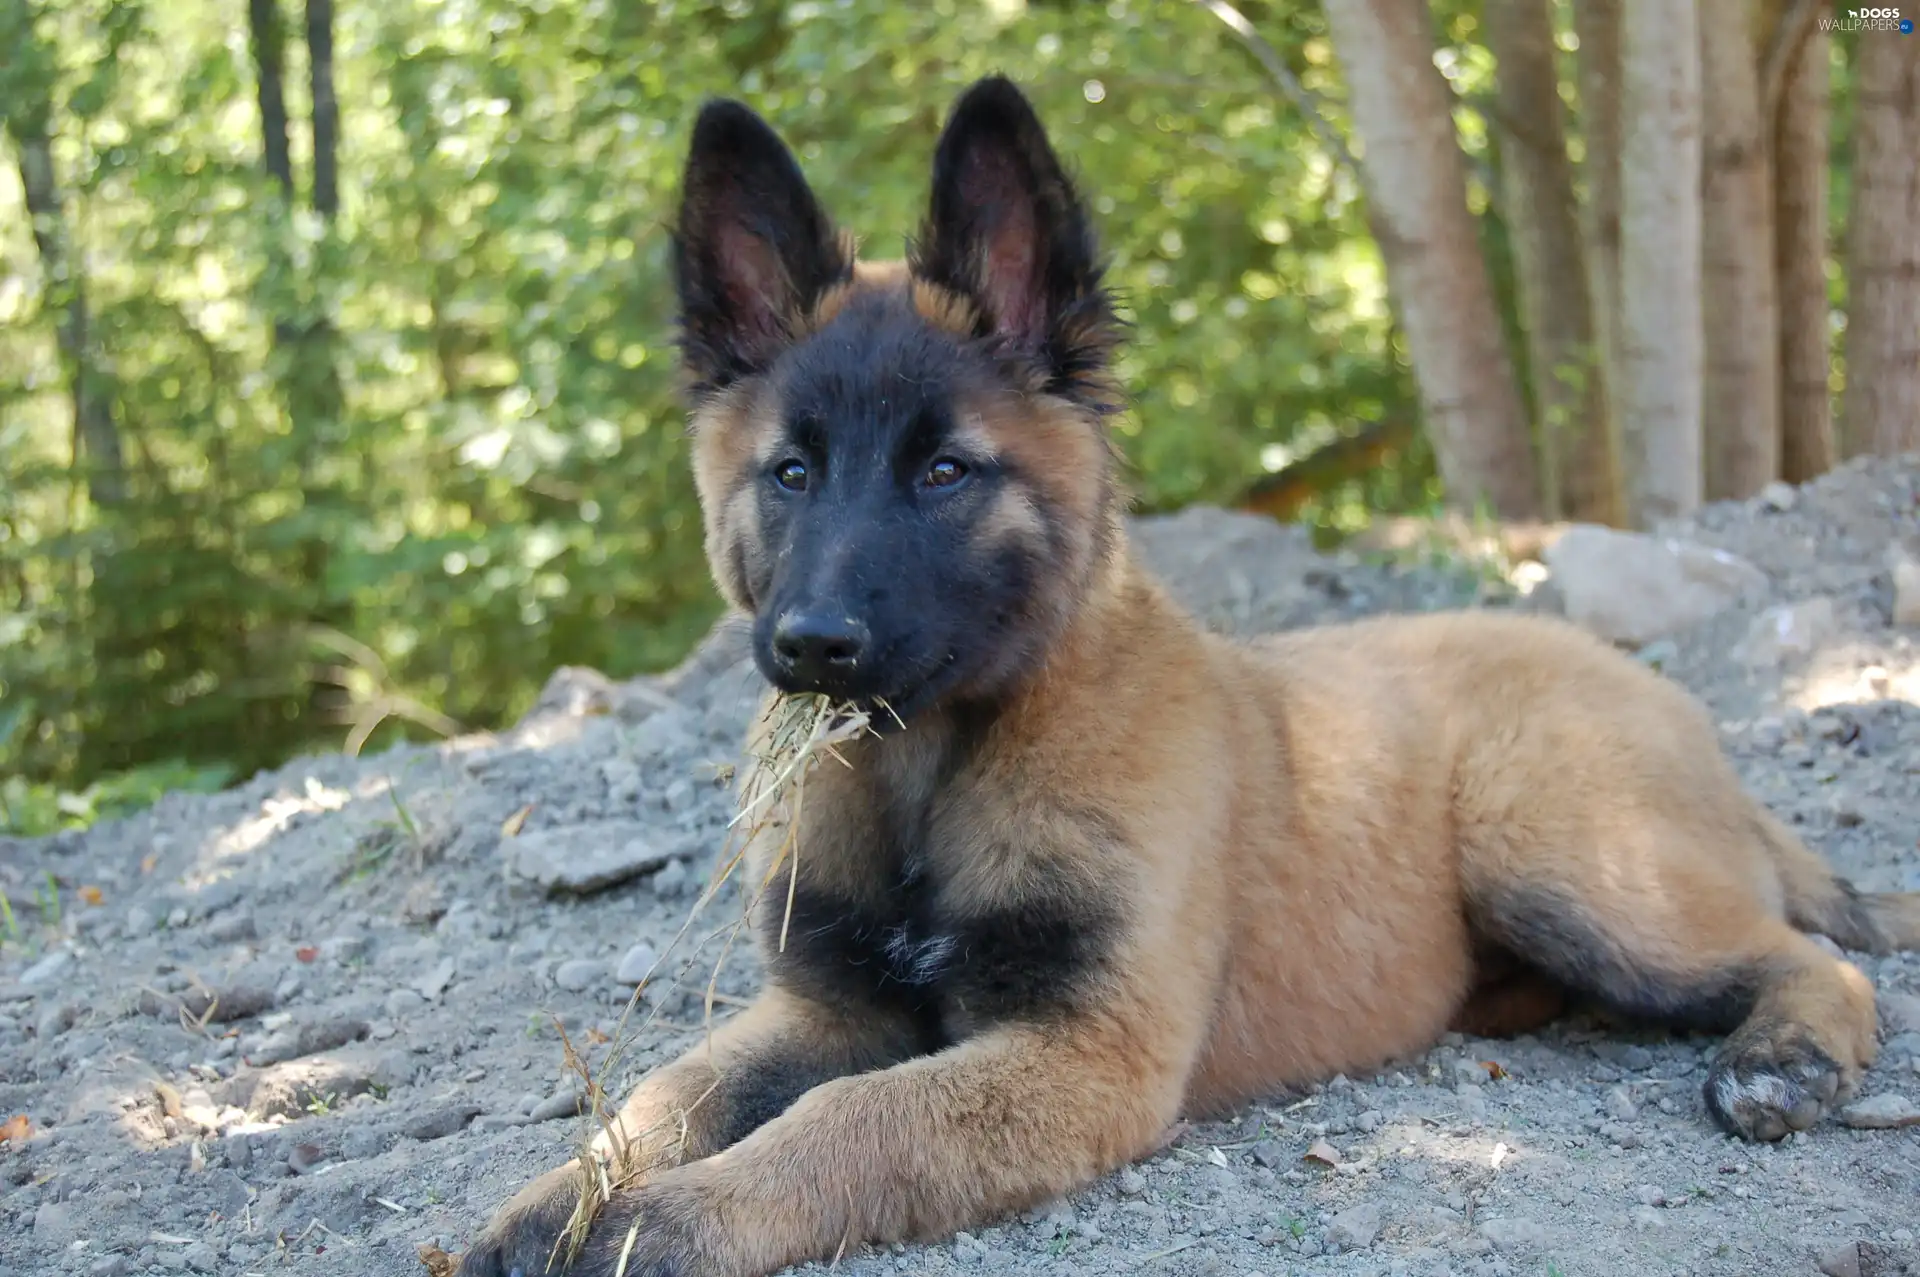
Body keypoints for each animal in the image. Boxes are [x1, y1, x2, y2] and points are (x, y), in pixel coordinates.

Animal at [460, 74, 1920, 1267]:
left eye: (947, 470)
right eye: (792, 471)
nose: (814, 645)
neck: (942, 765)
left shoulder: (1081, 1053)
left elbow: (842, 1122)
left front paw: (661, 1225)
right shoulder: (816, 1006)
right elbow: (668, 1093)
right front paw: (557, 1202)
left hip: (1563, 857)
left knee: (1816, 958)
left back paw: (1786, 1056)